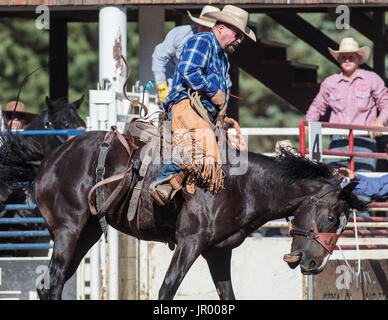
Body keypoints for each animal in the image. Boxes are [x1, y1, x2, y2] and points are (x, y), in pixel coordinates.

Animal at [28, 120, 366, 300]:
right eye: (331, 217)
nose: (315, 264)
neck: (243, 186)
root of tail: (49, 159)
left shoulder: (218, 252)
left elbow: (227, 295)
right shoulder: (190, 243)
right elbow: (167, 290)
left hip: (87, 233)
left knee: (50, 283)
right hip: (68, 230)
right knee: (54, 281)